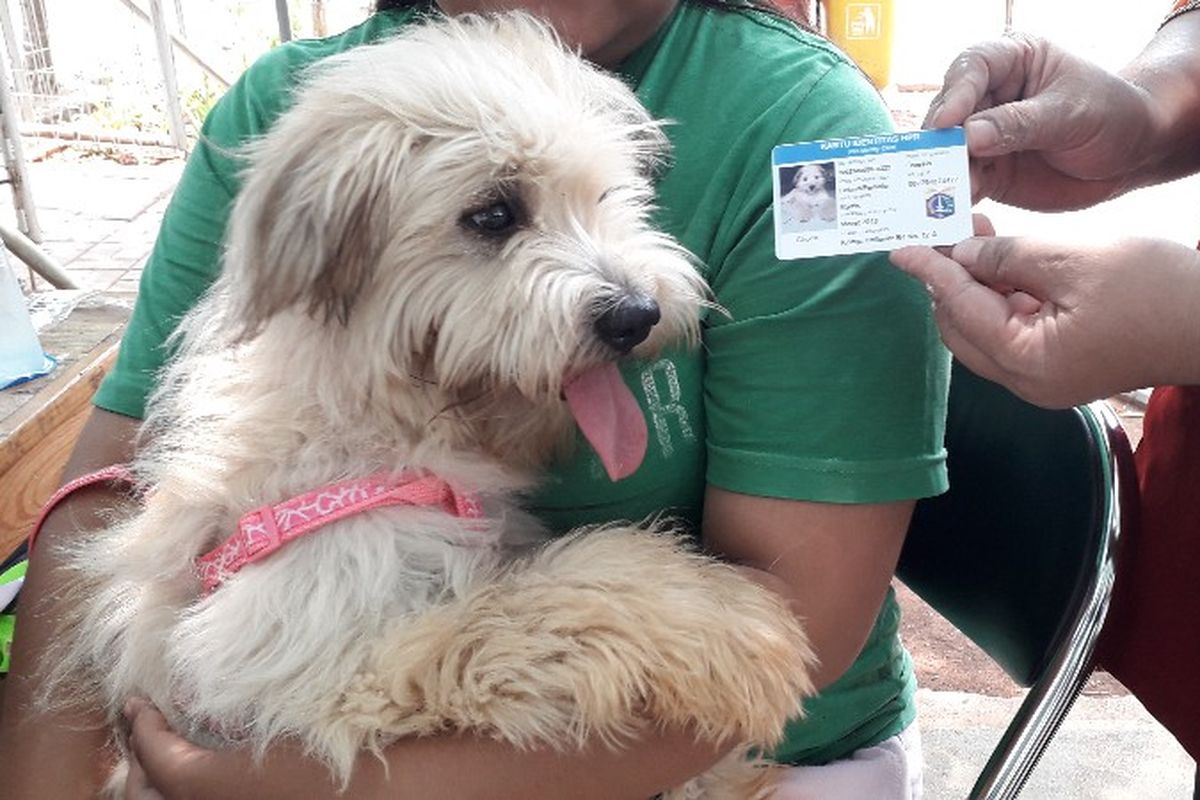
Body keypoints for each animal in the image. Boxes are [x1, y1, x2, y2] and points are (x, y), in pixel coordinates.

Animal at [44, 14, 816, 800]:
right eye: (494, 213)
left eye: (606, 198)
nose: (638, 314)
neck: (382, 427)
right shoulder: (317, 666)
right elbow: (531, 602)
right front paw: (731, 625)